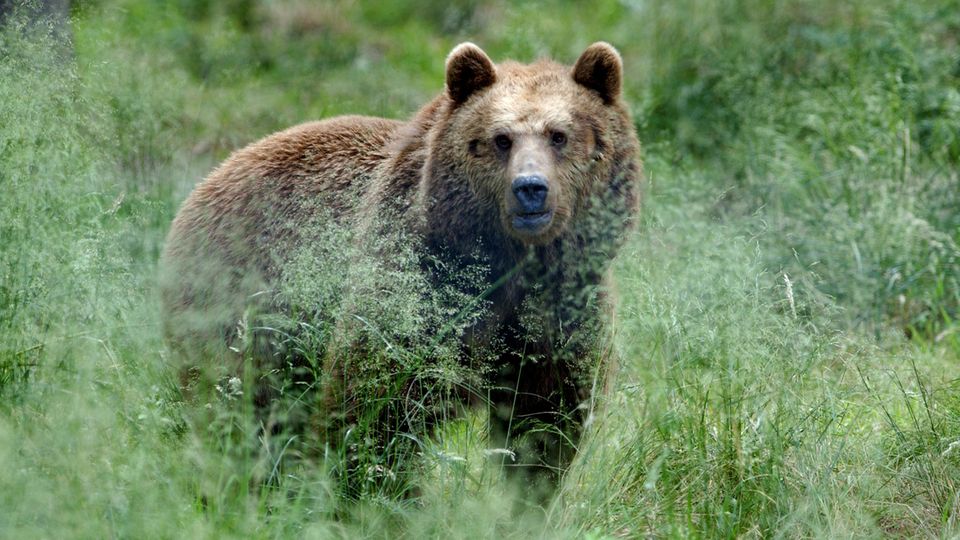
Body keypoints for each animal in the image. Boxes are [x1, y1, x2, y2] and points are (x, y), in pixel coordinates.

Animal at [161, 41, 640, 490]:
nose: (530, 189)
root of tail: (208, 180)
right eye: (500, 139)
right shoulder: (418, 286)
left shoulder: (561, 310)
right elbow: (376, 408)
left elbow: (545, 422)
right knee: (238, 406)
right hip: (242, 305)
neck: (509, 264)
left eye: (559, 135)